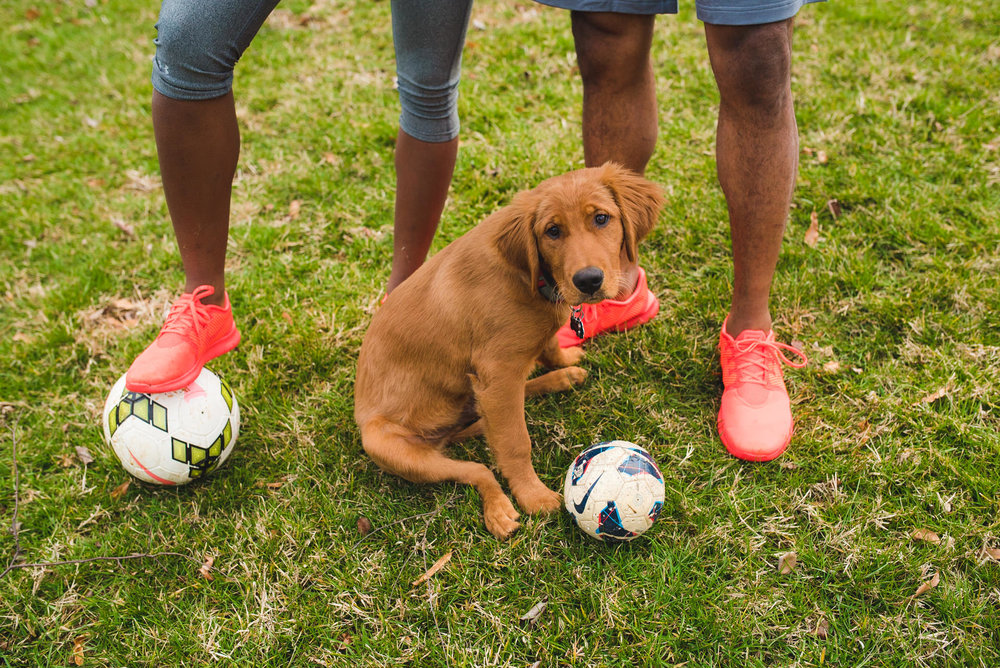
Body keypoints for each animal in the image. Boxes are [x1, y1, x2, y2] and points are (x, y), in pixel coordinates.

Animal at [354, 162, 664, 536]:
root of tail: (440, 438)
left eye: (602, 218)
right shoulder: (498, 373)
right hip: (393, 448)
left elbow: (547, 345)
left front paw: (562, 360)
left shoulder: (506, 371)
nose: (588, 280)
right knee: (479, 468)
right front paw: (532, 495)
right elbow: (515, 442)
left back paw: (562, 378)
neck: (530, 276)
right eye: (552, 231)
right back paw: (499, 510)